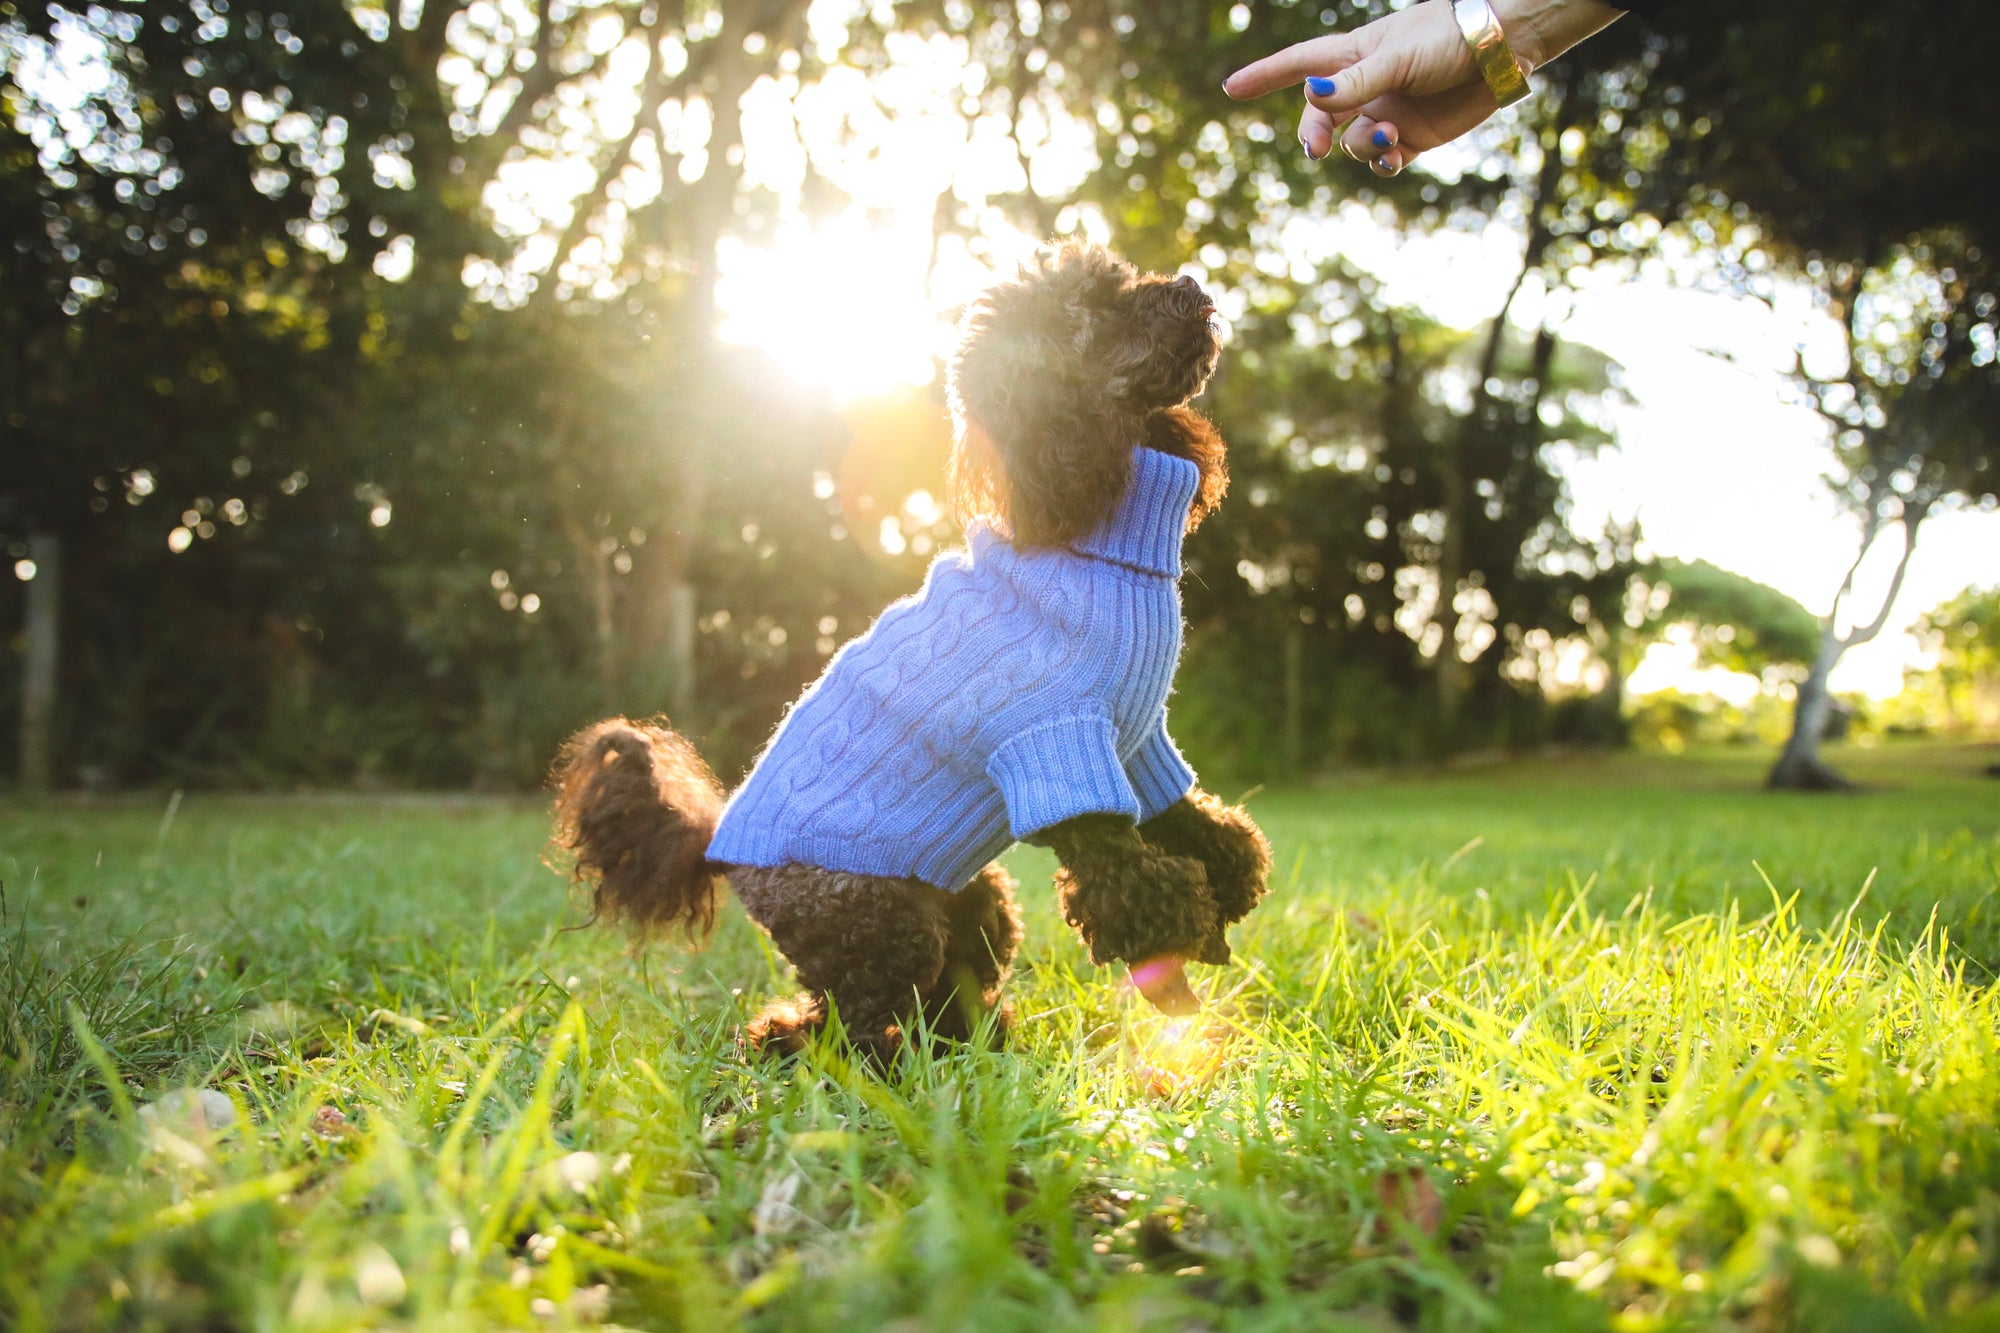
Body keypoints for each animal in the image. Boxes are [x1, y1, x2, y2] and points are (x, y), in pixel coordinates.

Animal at [552, 241, 1264, 1056]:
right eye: (1096, 310)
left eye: (1122, 276)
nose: (1191, 285)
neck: (1097, 539)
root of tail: (718, 847)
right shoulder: (1052, 748)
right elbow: (1134, 887)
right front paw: (1177, 976)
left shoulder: (1138, 742)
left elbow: (1206, 830)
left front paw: (1223, 905)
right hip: (873, 920)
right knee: (842, 1023)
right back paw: (857, 1057)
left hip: (969, 902)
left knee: (937, 986)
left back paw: (973, 1041)